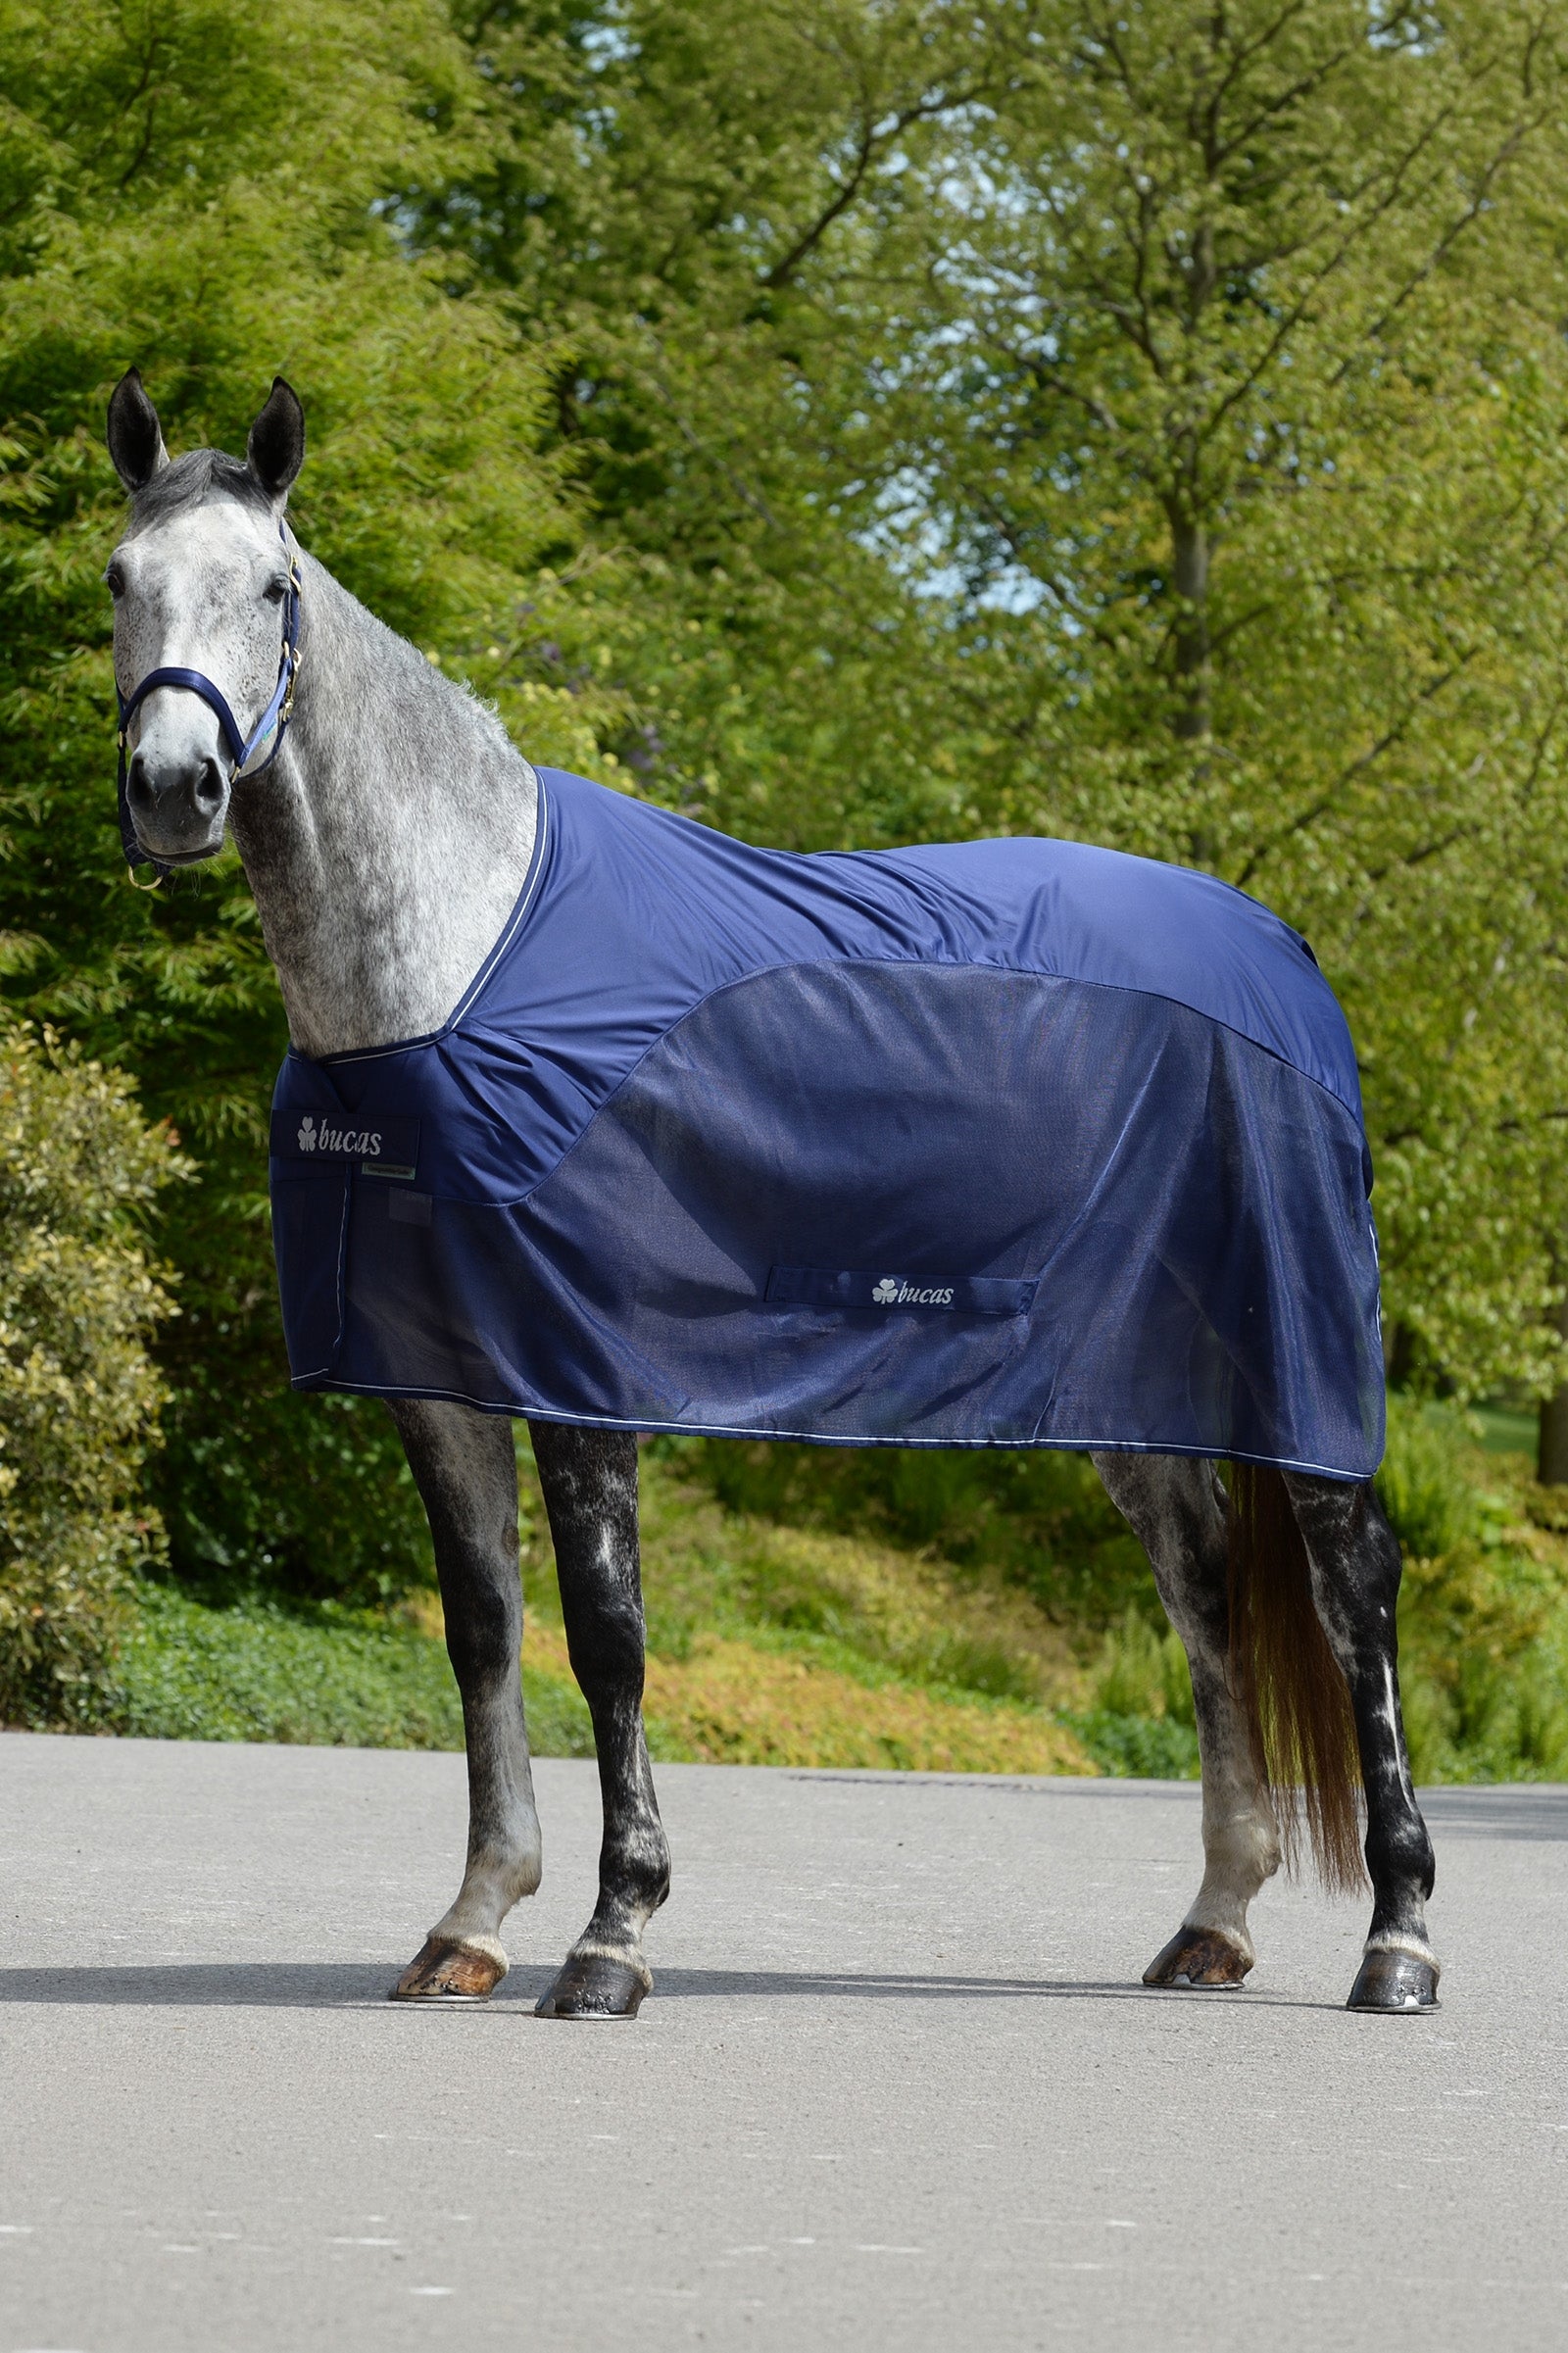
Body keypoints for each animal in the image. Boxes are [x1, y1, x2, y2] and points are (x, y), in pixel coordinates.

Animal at [102, 369, 1438, 2019]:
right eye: (120, 578)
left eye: (273, 589)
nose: (175, 789)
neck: (461, 959)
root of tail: (1280, 950)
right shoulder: (434, 1378)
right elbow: (481, 1631)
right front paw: (472, 1919)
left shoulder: (580, 1371)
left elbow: (607, 1640)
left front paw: (612, 1935)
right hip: (1130, 1385)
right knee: (1202, 1593)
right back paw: (1216, 1919)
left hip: (1299, 1363)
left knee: (1352, 1590)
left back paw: (1398, 1938)